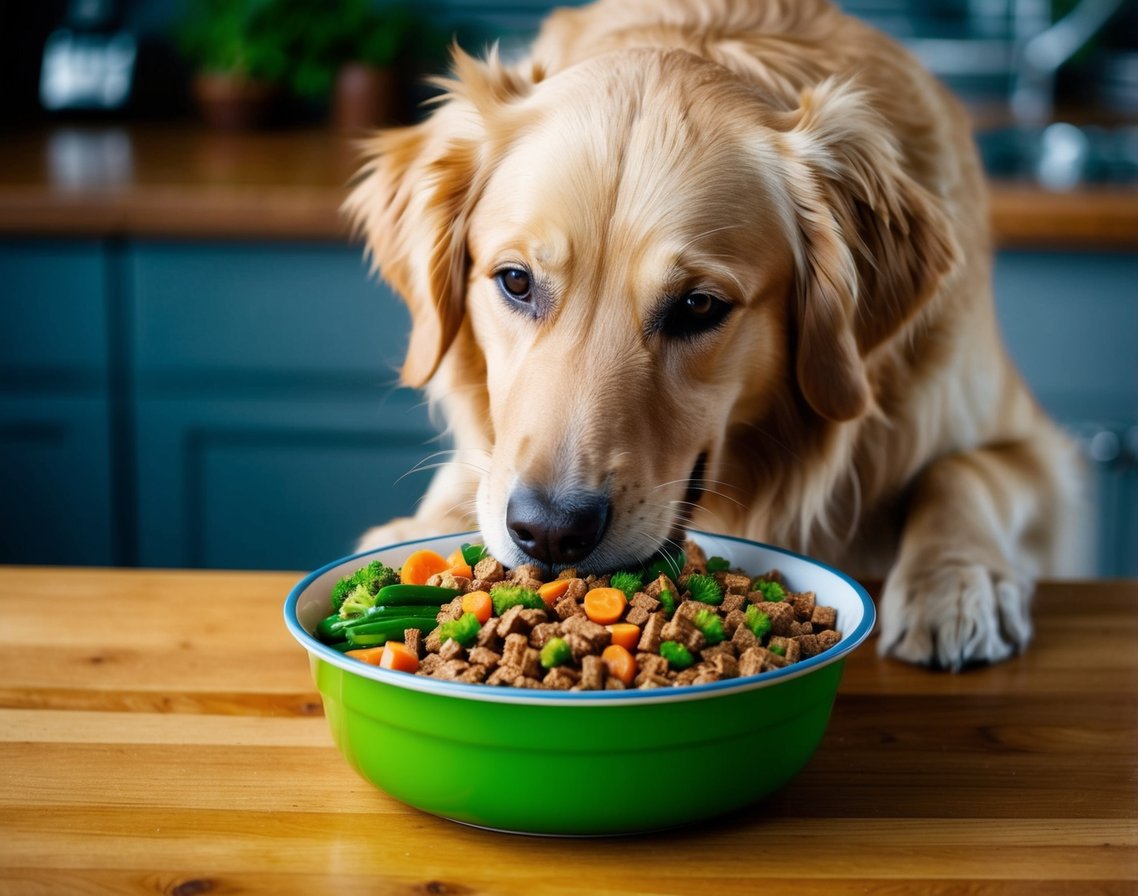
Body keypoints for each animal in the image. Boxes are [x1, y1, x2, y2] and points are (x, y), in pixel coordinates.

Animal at [343, 0, 1083, 669]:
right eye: (516, 281)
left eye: (699, 306)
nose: (549, 533)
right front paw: (418, 531)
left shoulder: (1041, 446)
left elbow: (964, 469)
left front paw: (955, 585)